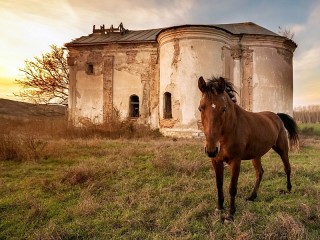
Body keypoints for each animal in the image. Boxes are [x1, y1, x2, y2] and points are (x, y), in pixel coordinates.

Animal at [198, 76, 300, 222]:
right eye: (201, 108)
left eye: (224, 109)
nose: (212, 149)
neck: (231, 128)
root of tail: (276, 115)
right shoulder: (216, 161)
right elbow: (219, 184)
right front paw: (219, 208)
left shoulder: (235, 161)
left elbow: (232, 187)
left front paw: (230, 215)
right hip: (256, 155)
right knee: (260, 172)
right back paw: (252, 196)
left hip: (282, 149)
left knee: (287, 168)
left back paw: (288, 189)